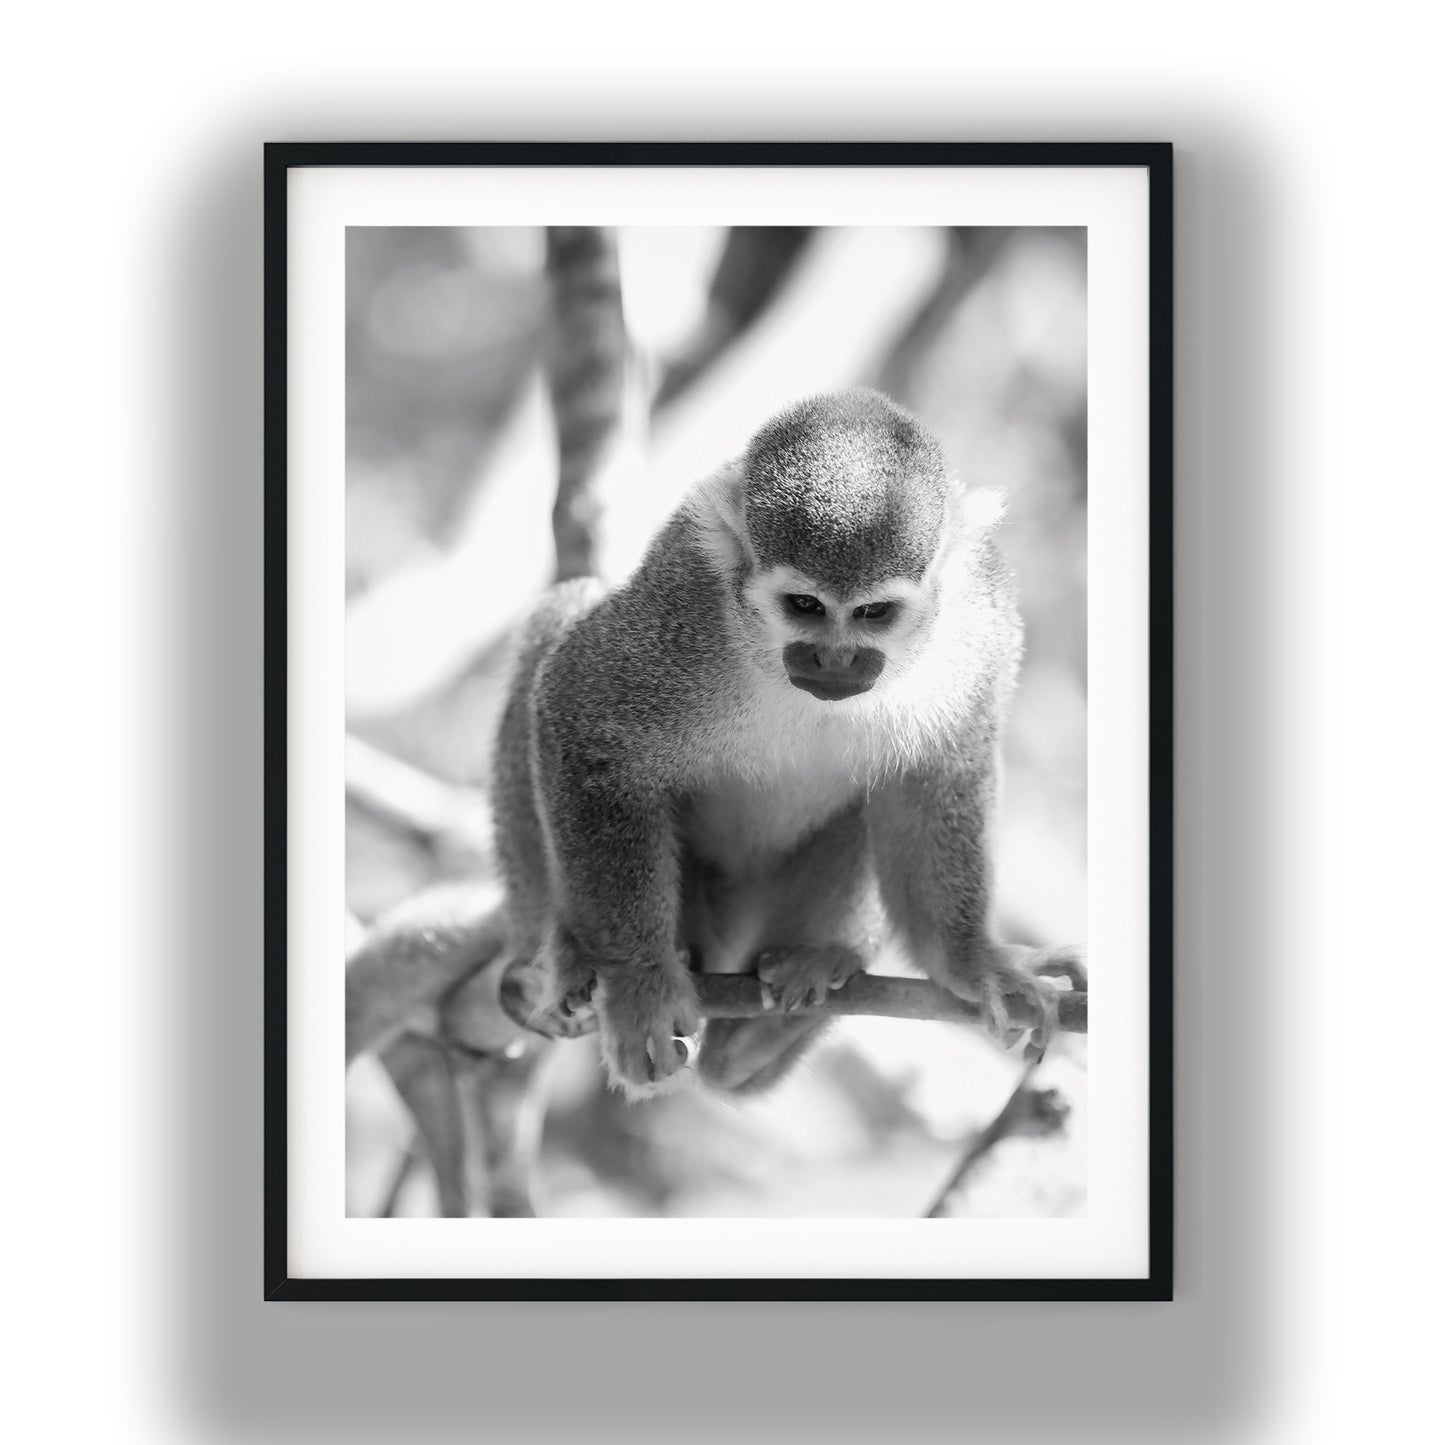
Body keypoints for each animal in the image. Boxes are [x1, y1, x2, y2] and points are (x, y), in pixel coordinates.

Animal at [490, 387, 1080, 1099]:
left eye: (873, 613)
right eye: (804, 606)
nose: (834, 661)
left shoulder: (984, 620)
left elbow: (938, 777)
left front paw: (969, 961)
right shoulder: (683, 609)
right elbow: (584, 715)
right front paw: (640, 984)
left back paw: (784, 1006)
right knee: (566, 611)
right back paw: (561, 948)